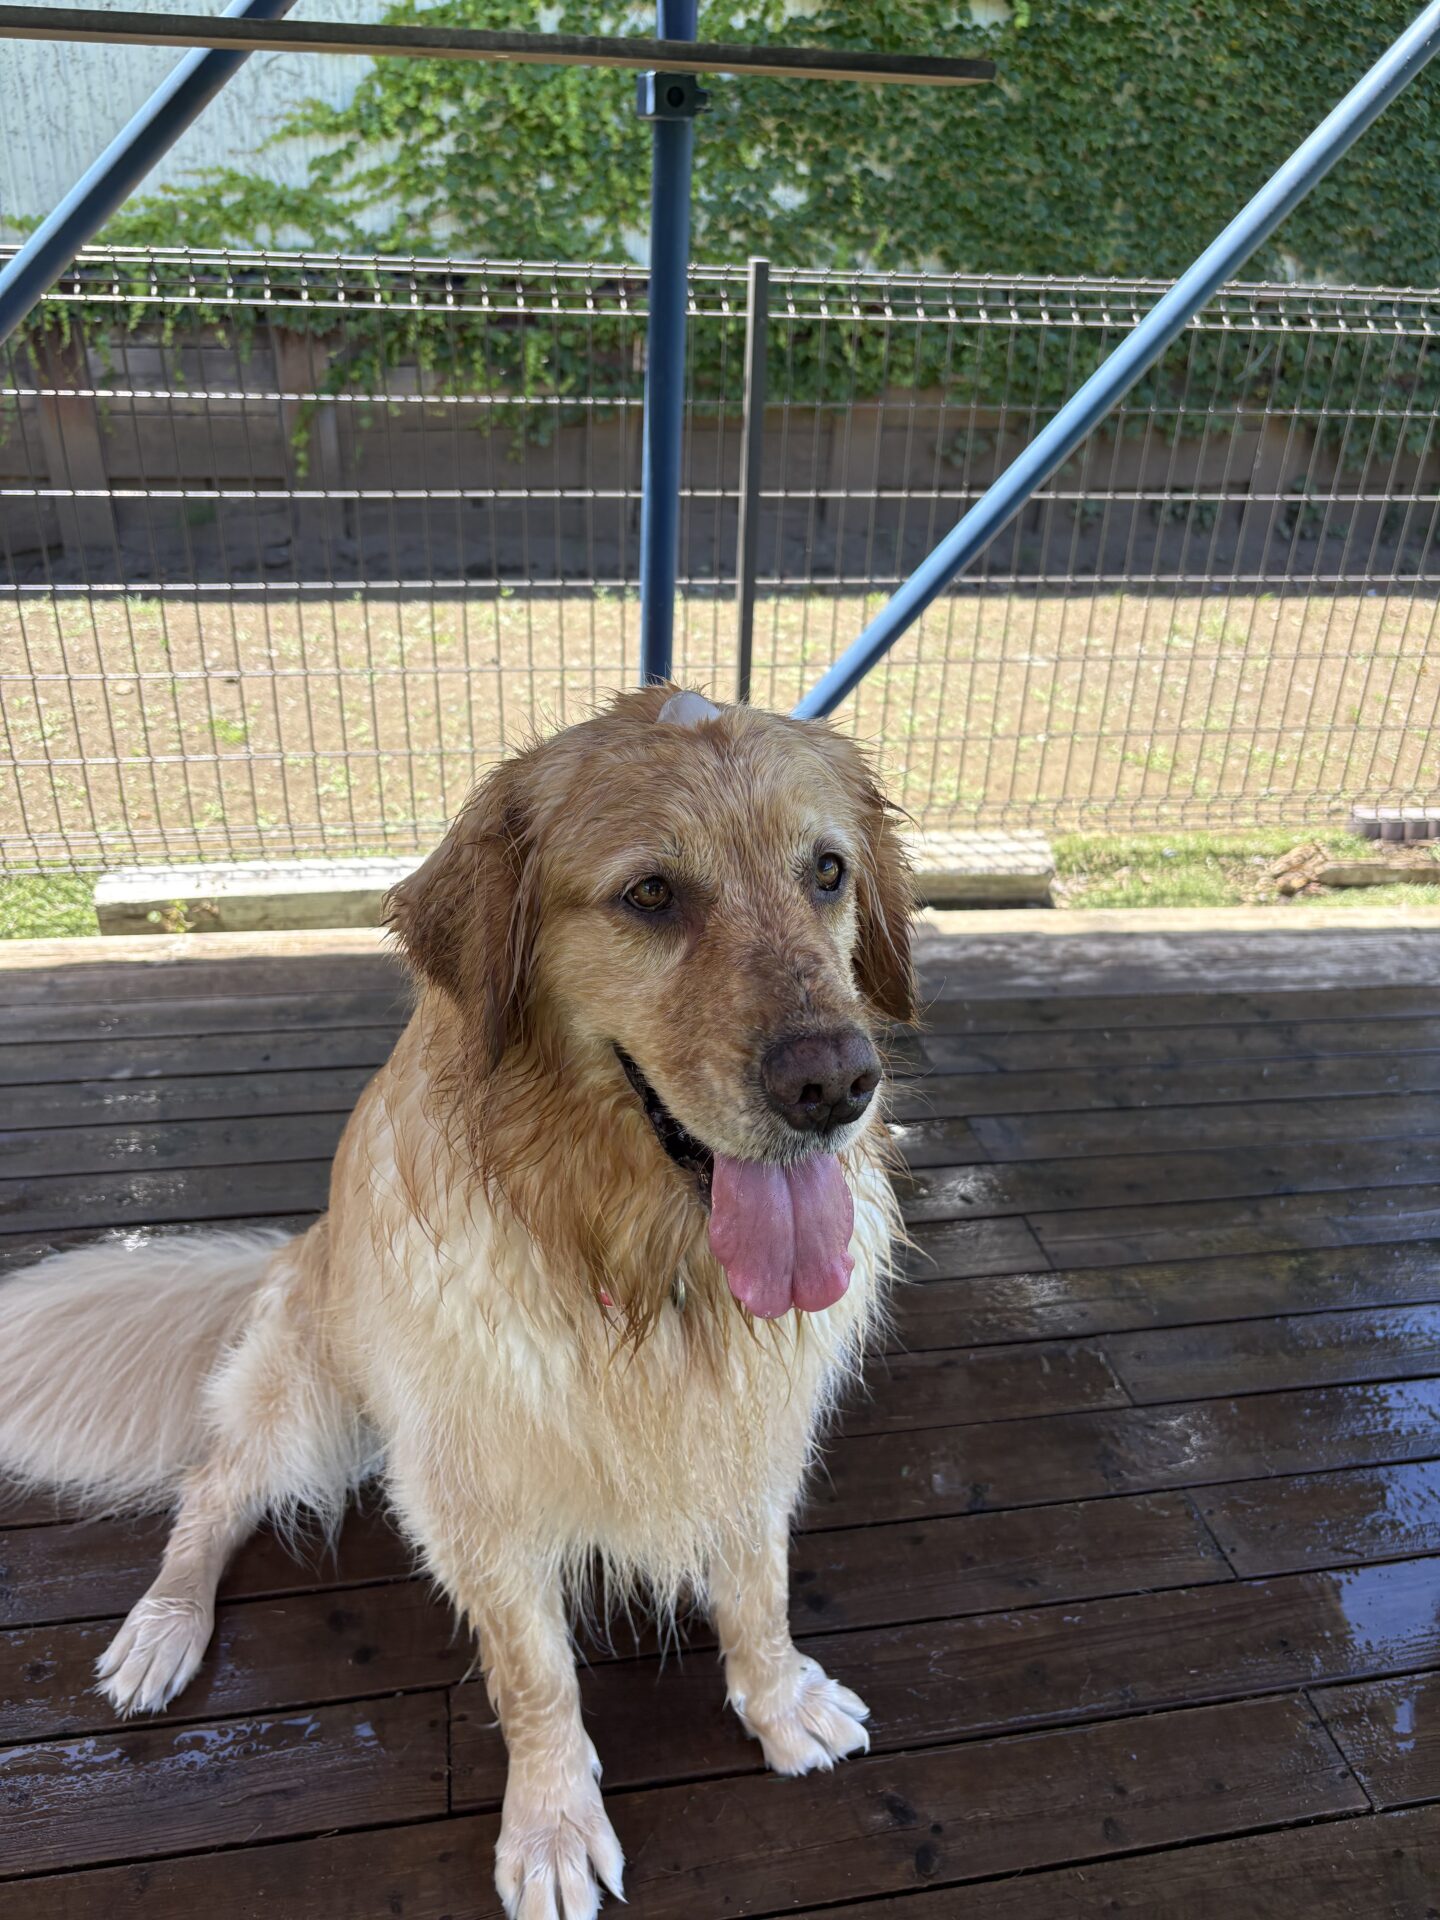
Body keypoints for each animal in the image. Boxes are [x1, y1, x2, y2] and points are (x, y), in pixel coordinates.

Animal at [0, 686, 915, 1919]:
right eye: (650, 893)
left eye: (827, 871)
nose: (836, 1086)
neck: (631, 1259)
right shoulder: (475, 1491)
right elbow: (535, 1679)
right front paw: (552, 1827)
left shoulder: (751, 1436)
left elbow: (758, 1590)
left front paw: (780, 1705)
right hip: (308, 1401)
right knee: (212, 1488)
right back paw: (162, 1627)